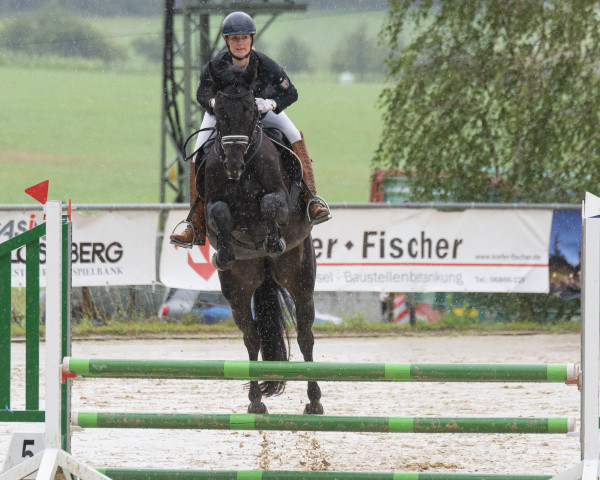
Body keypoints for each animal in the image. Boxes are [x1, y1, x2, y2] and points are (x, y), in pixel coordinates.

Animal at [200, 55, 324, 416]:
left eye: (249, 109)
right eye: (219, 111)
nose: (233, 165)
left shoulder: (282, 201)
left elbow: (270, 204)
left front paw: (272, 239)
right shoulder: (211, 206)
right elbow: (220, 213)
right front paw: (226, 250)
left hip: (299, 275)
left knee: (305, 335)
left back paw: (314, 400)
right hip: (239, 287)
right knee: (252, 337)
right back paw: (255, 401)